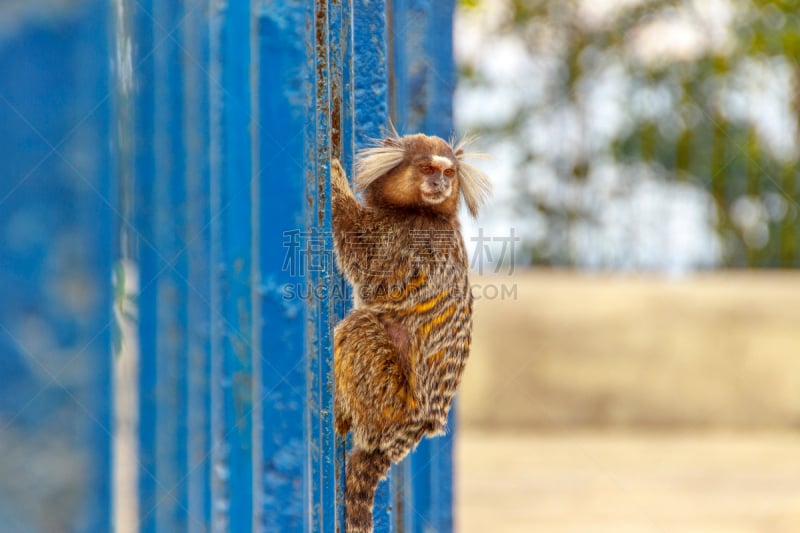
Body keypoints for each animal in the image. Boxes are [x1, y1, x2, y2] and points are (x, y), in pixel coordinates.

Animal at [330, 130, 490, 532]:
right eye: (428, 168)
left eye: (448, 172)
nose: (440, 184)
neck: (420, 211)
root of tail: (412, 429)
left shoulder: (408, 240)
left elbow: (369, 271)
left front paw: (336, 183)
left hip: (389, 401)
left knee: (359, 327)